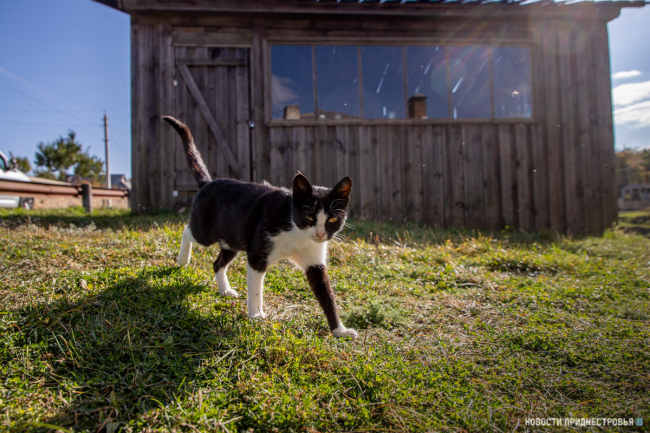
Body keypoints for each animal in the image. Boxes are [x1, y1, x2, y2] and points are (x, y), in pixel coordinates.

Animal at [163, 116, 358, 338]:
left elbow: (326, 294)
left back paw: (224, 289)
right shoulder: (257, 254)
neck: (297, 233)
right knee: (188, 231)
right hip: (206, 230)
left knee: (218, 262)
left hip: (234, 237)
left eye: (332, 219)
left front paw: (340, 330)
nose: (320, 233)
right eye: (309, 215)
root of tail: (207, 183)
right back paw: (183, 259)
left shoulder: (314, 258)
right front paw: (256, 315)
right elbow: (256, 288)